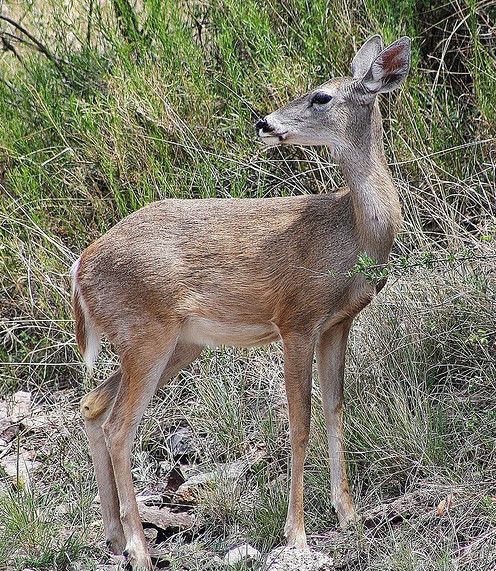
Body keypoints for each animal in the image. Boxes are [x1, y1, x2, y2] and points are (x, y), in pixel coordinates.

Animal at [70, 35, 410, 571]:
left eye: (321, 96)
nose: (263, 123)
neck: (352, 234)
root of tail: (80, 266)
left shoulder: (338, 323)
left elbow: (335, 409)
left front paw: (350, 516)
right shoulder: (296, 319)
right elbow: (300, 422)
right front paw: (298, 536)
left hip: (176, 343)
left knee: (93, 406)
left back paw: (114, 537)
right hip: (145, 333)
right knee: (120, 427)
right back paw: (140, 549)